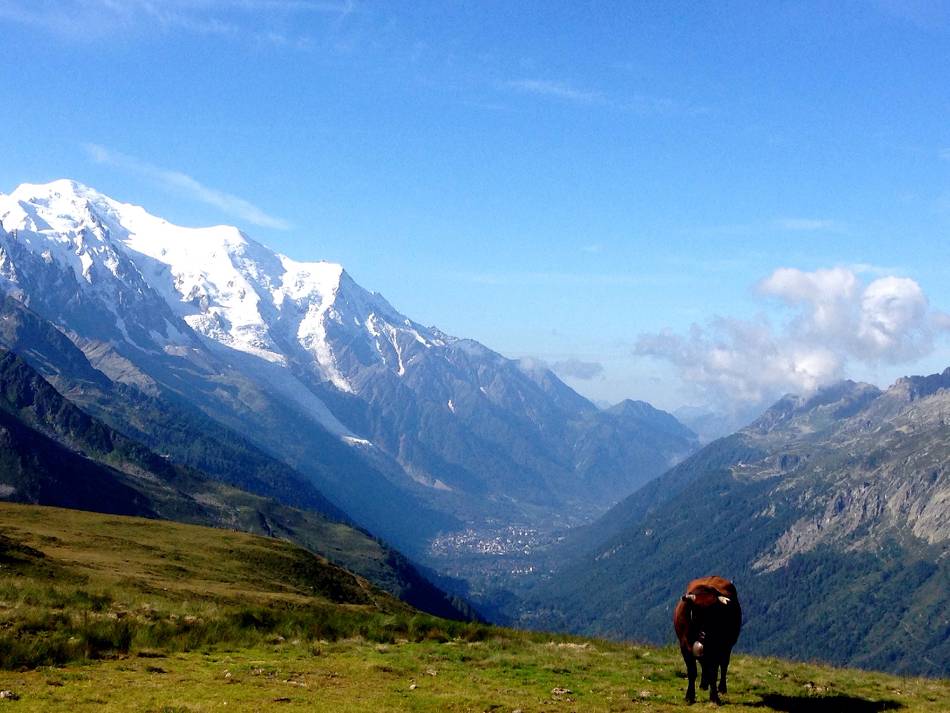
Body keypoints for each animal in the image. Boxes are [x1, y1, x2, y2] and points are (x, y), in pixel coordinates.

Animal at [676, 576, 744, 704]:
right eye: (696, 613)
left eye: (715, 613)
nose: (705, 635)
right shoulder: (684, 646)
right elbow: (692, 671)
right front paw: (689, 696)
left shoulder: (718, 648)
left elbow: (714, 672)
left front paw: (714, 697)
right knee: (704, 664)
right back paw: (703, 685)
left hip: (727, 647)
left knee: (723, 665)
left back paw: (721, 688)